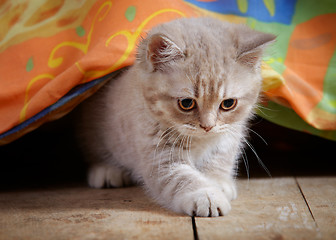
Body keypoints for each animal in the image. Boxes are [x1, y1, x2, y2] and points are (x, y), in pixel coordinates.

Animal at [79, 17, 276, 217]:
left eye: (228, 103)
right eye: (186, 103)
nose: (207, 126)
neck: (200, 141)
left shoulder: (229, 136)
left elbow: (220, 160)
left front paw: (218, 183)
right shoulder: (159, 155)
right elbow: (181, 177)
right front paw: (207, 196)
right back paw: (106, 171)